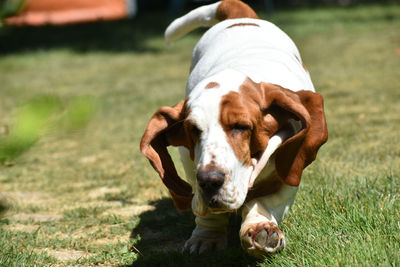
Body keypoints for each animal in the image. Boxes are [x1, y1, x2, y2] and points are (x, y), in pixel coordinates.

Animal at [141, 0, 328, 258]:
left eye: (241, 127)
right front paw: (206, 237)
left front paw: (261, 228)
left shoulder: (291, 171)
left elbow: (265, 202)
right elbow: (204, 210)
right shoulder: (189, 161)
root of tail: (240, 16)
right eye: (193, 130)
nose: (210, 181)